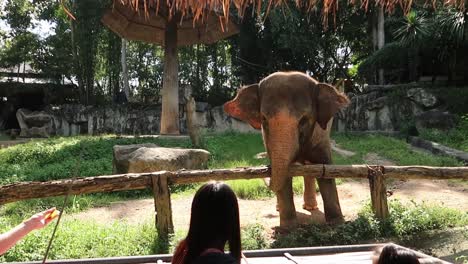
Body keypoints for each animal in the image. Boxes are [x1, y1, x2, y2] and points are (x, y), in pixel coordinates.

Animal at [225, 71, 350, 227]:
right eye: (264, 119)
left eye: (304, 120)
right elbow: (284, 175)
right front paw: (288, 227)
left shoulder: (321, 135)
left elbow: (325, 169)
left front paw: (337, 223)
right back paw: (283, 208)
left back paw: (310, 207)